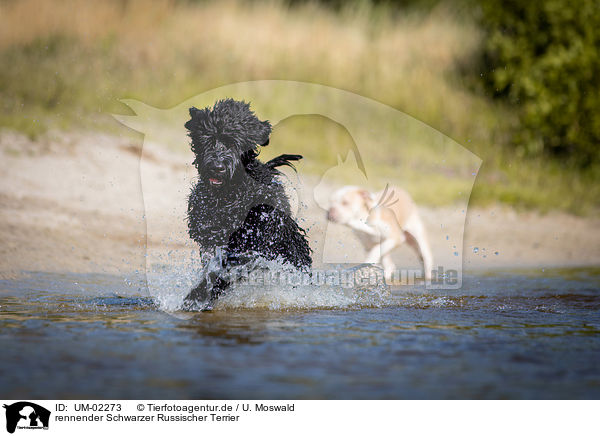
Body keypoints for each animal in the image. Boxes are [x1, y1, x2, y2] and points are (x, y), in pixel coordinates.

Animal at [182, 99, 314, 310]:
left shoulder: (251, 241)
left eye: (234, 142)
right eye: (208, 139)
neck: (229, 195)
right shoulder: (210, 238)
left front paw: (197, 296)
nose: (217, 167)